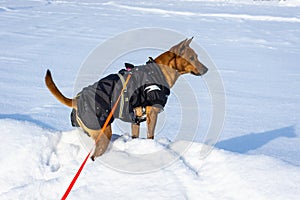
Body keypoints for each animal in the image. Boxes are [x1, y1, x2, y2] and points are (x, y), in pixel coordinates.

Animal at [45, 36, 209, 160]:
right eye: (192, 58)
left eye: (197, 57)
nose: (206, 69)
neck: (159, 71)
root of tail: (77, 99)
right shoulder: (152, 114)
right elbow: (151, 136)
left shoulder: (136, 119)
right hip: (103, 133)